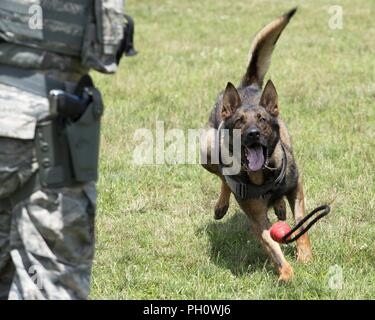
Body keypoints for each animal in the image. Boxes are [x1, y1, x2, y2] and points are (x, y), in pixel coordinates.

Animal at [201, 8, 312, 282]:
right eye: (240, 121)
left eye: (262, 119)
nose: (253, 134)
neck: (263, 175)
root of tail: (247, 86)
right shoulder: (256, 217)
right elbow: (271, 245)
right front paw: (286, 274)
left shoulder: (297, 188)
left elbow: (302, 224)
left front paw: (305, 257)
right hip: (206, 150)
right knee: (222, 176)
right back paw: (221, 205)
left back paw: (279, 206)